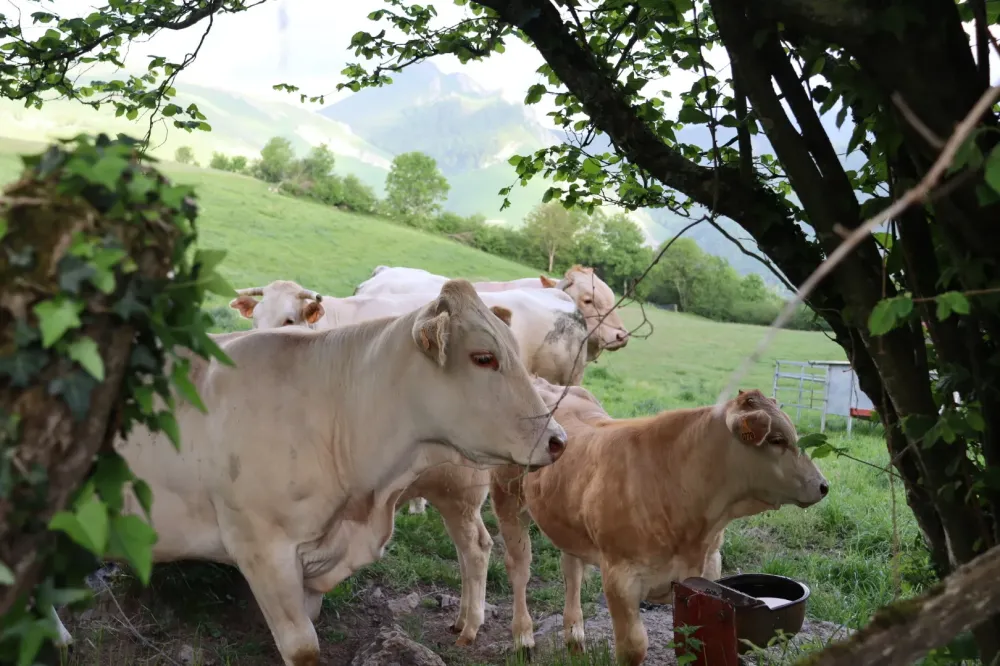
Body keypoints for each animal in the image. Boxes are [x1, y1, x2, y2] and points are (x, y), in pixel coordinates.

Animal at [490, 379, 830, 666]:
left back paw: (575, 635)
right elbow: (634, 647)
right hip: (507, 503)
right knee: (519, 569)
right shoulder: (620, 578)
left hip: (564, 518)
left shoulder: (707, 569)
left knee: (571, 570)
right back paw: (523, 637)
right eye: (777, 439)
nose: (823, 485)